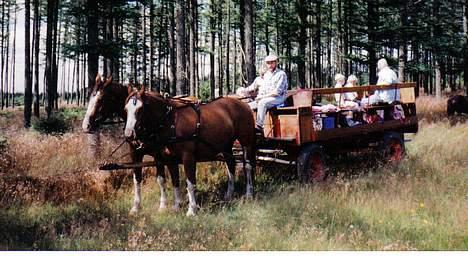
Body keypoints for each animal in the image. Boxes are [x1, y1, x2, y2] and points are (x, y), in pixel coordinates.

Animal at [82, 74, 181, 212]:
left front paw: (162, 206)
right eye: (91, 96)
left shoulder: (158, 155)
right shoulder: (135, 153)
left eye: (101, 99)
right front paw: (136, 207)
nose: (86, 125)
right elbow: (137, 178)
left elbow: (161, 179)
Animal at [124, 89, 256, 215]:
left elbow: (190, 183)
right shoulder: (169, 158)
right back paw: (229, 195)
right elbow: (175, 180)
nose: (129, 134)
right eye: (126, 109)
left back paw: (249, 194)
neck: (171, 122)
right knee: (231, 165)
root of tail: (244, 104)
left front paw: (191, 210)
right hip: (226, 145)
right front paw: (176, 206)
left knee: (248, 166)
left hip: (246, 142)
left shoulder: (187, 157)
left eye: (140, 109)